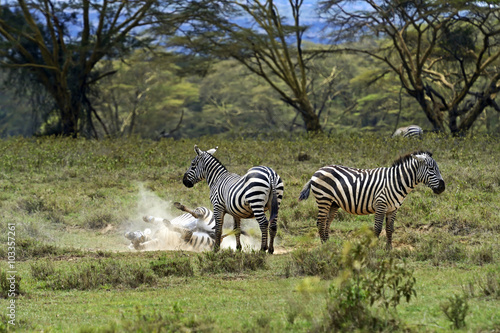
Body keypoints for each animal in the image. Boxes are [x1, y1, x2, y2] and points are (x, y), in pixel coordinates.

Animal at [296, 150, 446, 249]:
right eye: (431, 168)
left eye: (437, 168)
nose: (442, 187)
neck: (396, 181)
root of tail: (318, 170)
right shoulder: (381, 204)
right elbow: (378, 229)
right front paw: (373, 248)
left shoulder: (393, 208)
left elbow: (390, 229)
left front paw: (389, 249)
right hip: (324, 198)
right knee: (320, 223)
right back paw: (325, 247)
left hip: (333, 203)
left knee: (327, 222)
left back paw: (329, 244)